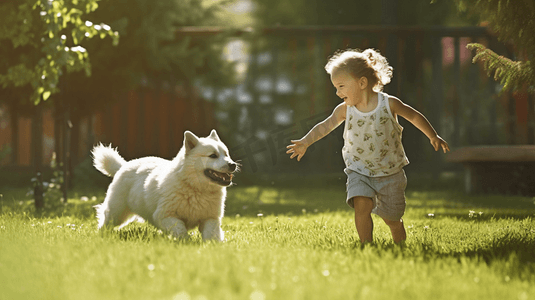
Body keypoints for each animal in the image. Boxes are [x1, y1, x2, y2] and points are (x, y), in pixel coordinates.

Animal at [91, 129, 238, 241]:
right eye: (213, 155)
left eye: (226, 154)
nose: (233, 164)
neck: (195, 188)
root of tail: (123, 165)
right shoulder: (165, 216)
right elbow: (180, 229)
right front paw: (186, 242)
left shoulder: (210, 218)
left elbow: (211, 234)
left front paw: (211, 245)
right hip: (116, 213)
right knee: (104, 221)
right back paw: (101, 236)